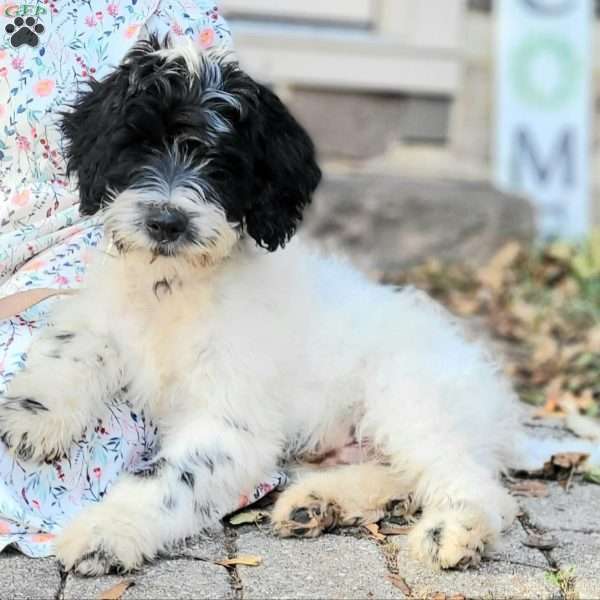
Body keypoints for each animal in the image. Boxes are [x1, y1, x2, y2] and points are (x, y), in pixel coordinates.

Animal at [0, 37, 520, 576]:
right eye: (138, 145)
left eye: (221, 164)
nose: (166, 222)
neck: (175, 285)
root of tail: (495, 390)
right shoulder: (103, 314)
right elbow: (75, 342)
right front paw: (36, 415)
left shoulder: (228, 422)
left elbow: (168, 480)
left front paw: (106, 531)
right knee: (400, 474)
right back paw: (318, 504)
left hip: (413, 400)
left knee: (475, 483)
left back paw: (457, 529)